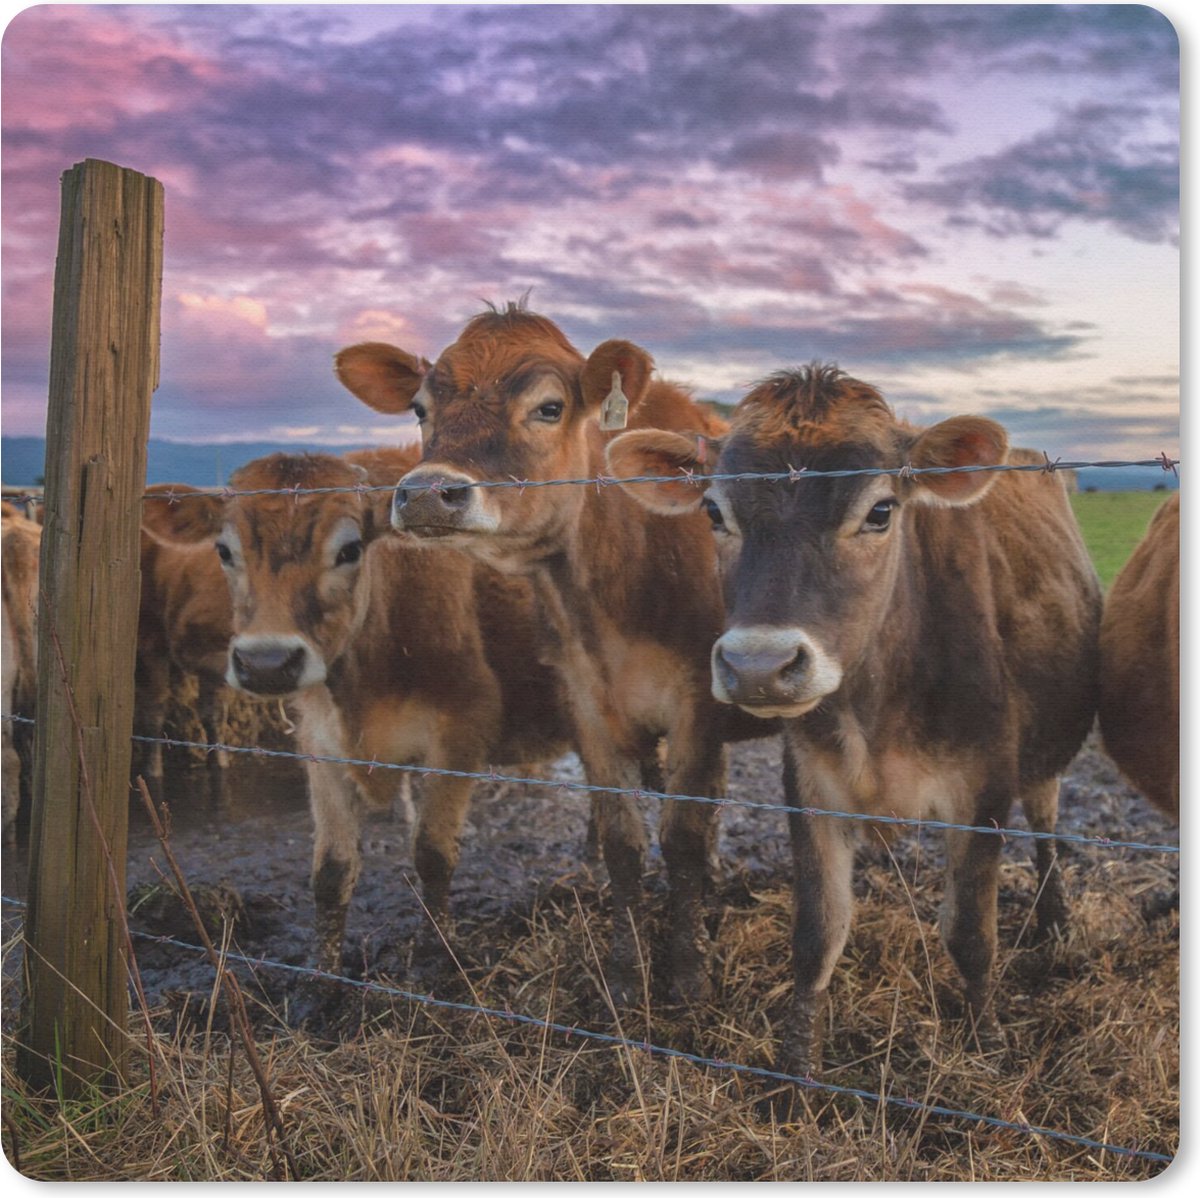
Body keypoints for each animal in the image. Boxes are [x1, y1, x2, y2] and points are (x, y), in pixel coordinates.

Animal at [333, 304, 772, 1005]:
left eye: (548, 407)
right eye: (421, 408)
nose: (426, 493)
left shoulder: (699, 706)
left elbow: (679, 838)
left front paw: (686, 974)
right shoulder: (585, 704)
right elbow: (623, 843)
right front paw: (625, 974)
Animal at [606, 363, 1102, 1073]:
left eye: (881, 511)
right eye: (713, 511)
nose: (758, 665)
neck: (879, 707)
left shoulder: (983, 788)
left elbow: (971, 935)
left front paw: (987, 1046)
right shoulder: (811, 786)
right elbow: (818, 934)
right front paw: (795, 1071)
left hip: (1041, 762)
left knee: (1047, 826)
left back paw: (1055, 918)